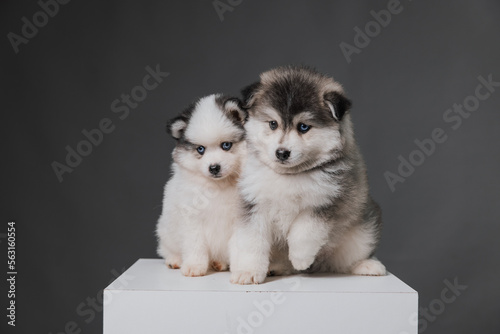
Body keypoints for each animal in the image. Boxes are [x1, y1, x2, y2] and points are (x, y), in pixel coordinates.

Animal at [156, 94, 246, 276]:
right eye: (200, 149)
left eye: (226, 145)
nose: (214, 167)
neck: (218, 186)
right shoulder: (191, 217)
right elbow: (195, 244)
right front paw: (194, 266)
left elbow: (240, 245)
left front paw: (242, 268)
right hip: (165, 230)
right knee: (167, 249)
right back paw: (175, 260)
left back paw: (219, 263)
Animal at [229, 66, 386, 284]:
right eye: (273, 124)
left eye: (303, 127)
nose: (282, 153)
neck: (289, 176)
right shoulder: (253, 204)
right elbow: (251, 241)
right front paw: (248, 271)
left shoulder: (327, 200)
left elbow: (304, 230)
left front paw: (300, 258)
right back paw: (276, 267)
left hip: (364, 229)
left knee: (347, 259)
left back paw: (366, 265)